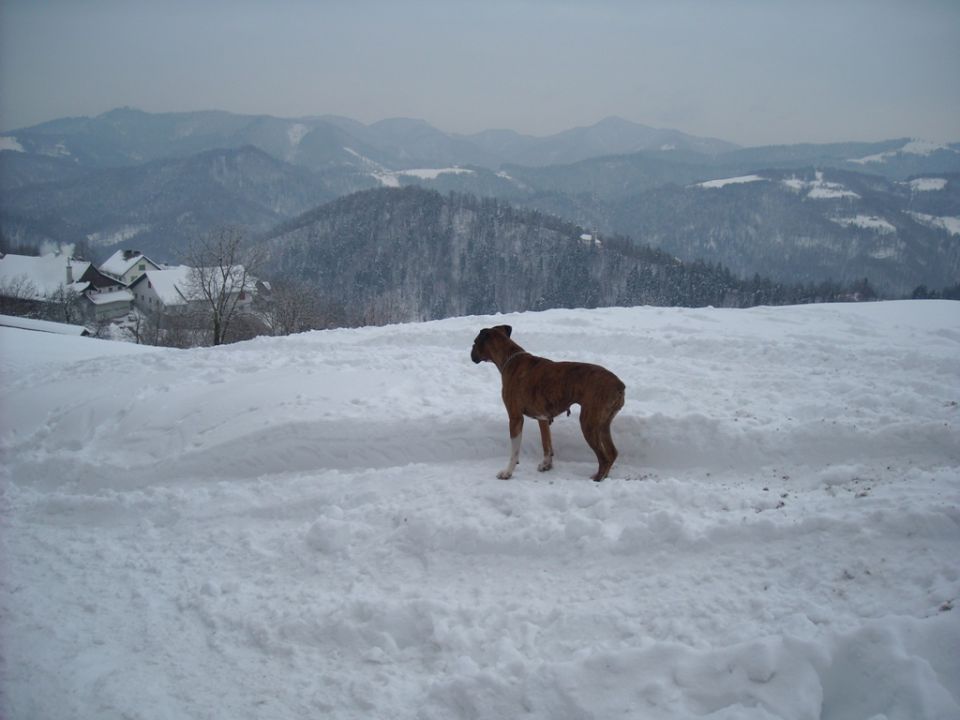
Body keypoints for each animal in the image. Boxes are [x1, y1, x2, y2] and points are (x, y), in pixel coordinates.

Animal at [470, 326, 624, 484]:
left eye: (475, 342)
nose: (471, 352)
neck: (509, 357)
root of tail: (619, 385)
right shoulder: (543, 418)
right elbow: (546, 443)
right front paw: (546, 464)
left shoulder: (515, 418)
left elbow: (515, 451)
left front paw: (508, 472)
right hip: (603, 425)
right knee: (612, 453)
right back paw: (604, 475)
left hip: (589, 424)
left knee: (604, 458)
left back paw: (598, 478)